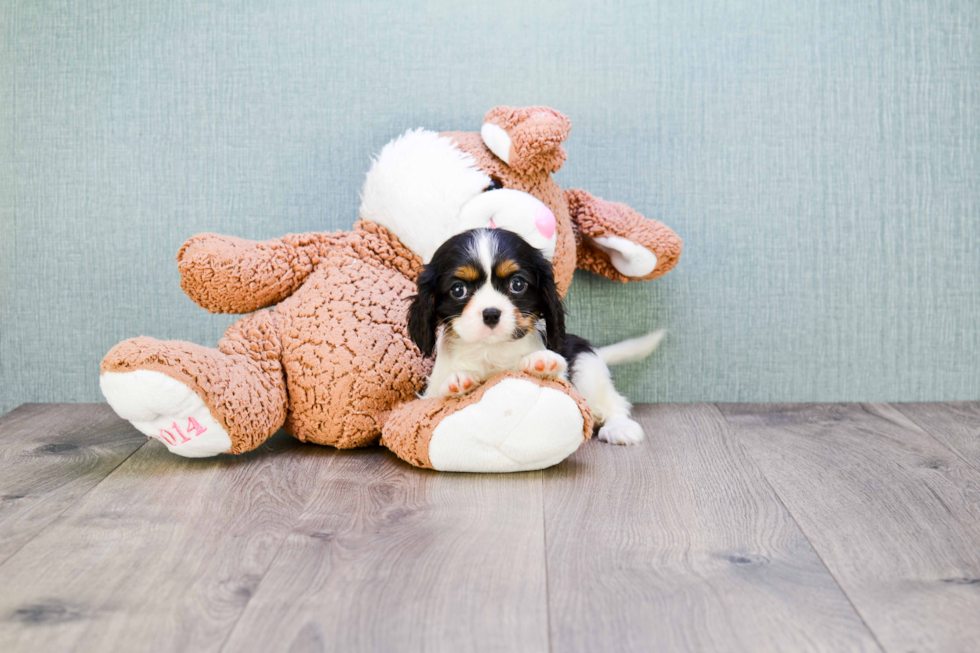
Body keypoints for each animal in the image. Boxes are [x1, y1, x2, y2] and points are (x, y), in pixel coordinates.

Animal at [406, 227, 668, 446]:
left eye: (517, 284)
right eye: (458, 290)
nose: (491, 313)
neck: (492, 350)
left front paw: (541, 363)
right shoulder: (428, 396)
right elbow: (439, 393)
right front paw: (459, 381)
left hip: (588, 367)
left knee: (614, 404)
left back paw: (620, 427)